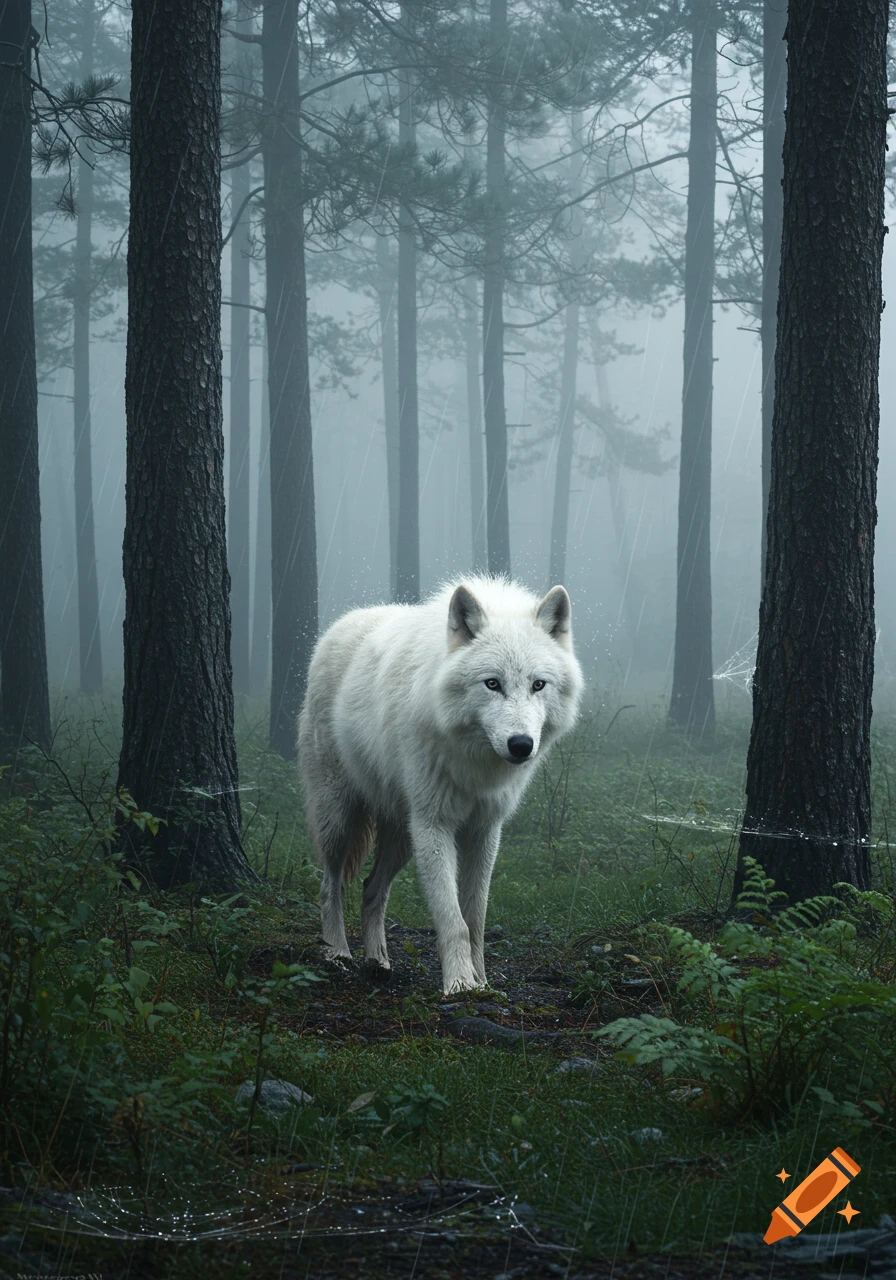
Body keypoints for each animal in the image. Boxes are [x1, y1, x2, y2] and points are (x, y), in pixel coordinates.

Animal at [297, 576, 584, 994]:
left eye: (538, 685)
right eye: (492, 684)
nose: (521, 745)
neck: (473, 762)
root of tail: (336, 627)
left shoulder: (485, 829)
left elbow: (476, 918)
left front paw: (482, 982)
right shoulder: (435, 825)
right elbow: (453, 919)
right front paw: (460, 985)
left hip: (403, 836)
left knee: (370, 888)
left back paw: (378, 961)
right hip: (341, 819)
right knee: (329, 882)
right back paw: (337, 953)